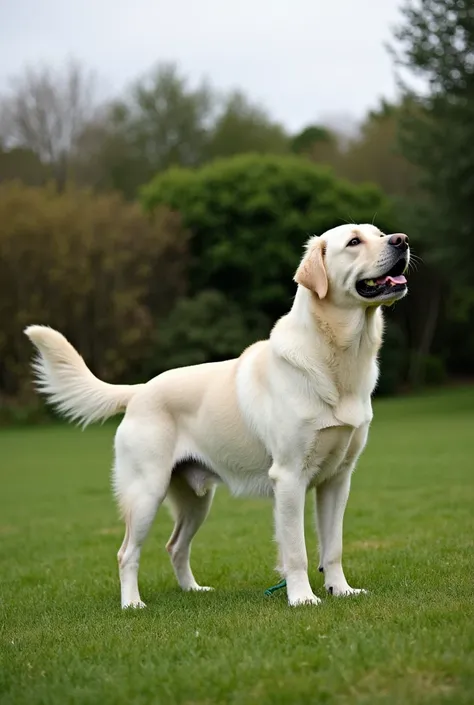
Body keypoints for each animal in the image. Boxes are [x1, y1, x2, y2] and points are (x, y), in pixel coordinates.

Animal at [25, 224, 410, 604]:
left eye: (380, 234)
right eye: (354, 241)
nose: (402, 241)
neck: (337, 358)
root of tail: (139, 390)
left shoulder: (337, 480)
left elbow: (333, 547)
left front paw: (340, 590)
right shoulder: (289, 478)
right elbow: (296, 551)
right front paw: (303, 597)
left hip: (197, 500)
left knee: (175, 546)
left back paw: (193, 590)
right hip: (146, 492)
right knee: (126, 553)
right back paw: (132, 603)